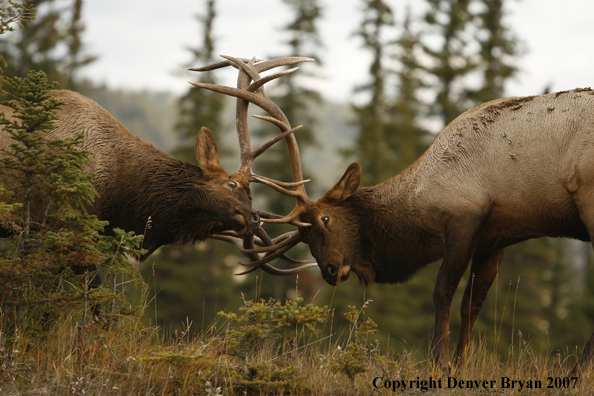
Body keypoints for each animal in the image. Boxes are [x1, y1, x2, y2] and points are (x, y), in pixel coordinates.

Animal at [228, 89, 594, 374]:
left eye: (325, 220)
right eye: (304, 238)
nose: (330, 271)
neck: (418, 201)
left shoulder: (464, 219)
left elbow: (442, 292)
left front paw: (439, 364)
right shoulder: (496, 238)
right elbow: (472, 304)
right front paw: (459, 366)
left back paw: (576, 373)